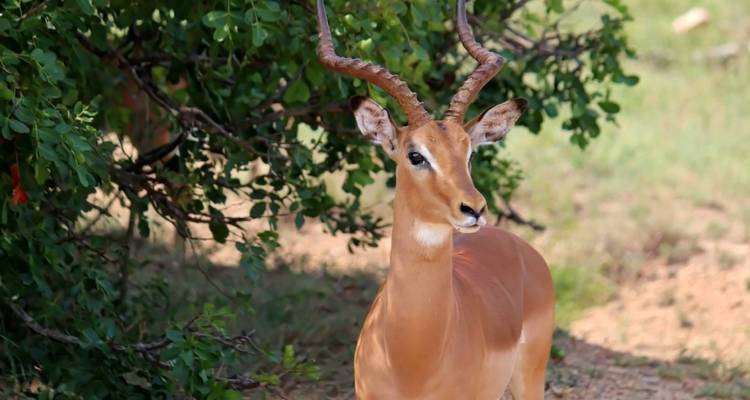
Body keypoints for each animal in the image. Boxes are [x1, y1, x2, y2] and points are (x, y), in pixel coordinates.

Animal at [316, 0, 555, 399]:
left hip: (530, 377)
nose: (474, 209)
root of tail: (521, 248)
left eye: (469, 153)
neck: (412, 357)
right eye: (415, 155)